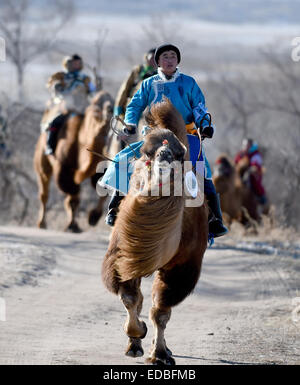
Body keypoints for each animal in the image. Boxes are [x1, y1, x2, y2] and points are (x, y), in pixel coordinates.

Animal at [33, 91, 113, 231]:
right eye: (96, 105)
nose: (110, 109)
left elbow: (102, 189)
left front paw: (92, 218)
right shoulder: (63, 169)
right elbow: (74, 195)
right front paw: (72, 226)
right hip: (41, 161)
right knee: (44, 192)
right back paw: (42, 223)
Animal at [101, 98, 209, 364]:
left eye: (180, 154)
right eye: (146, 153)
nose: (165, 155)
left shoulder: (181, 267)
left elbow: (160, 311)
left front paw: (159, 354)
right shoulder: (124, 257)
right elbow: (131, 299)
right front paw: (135, 338)